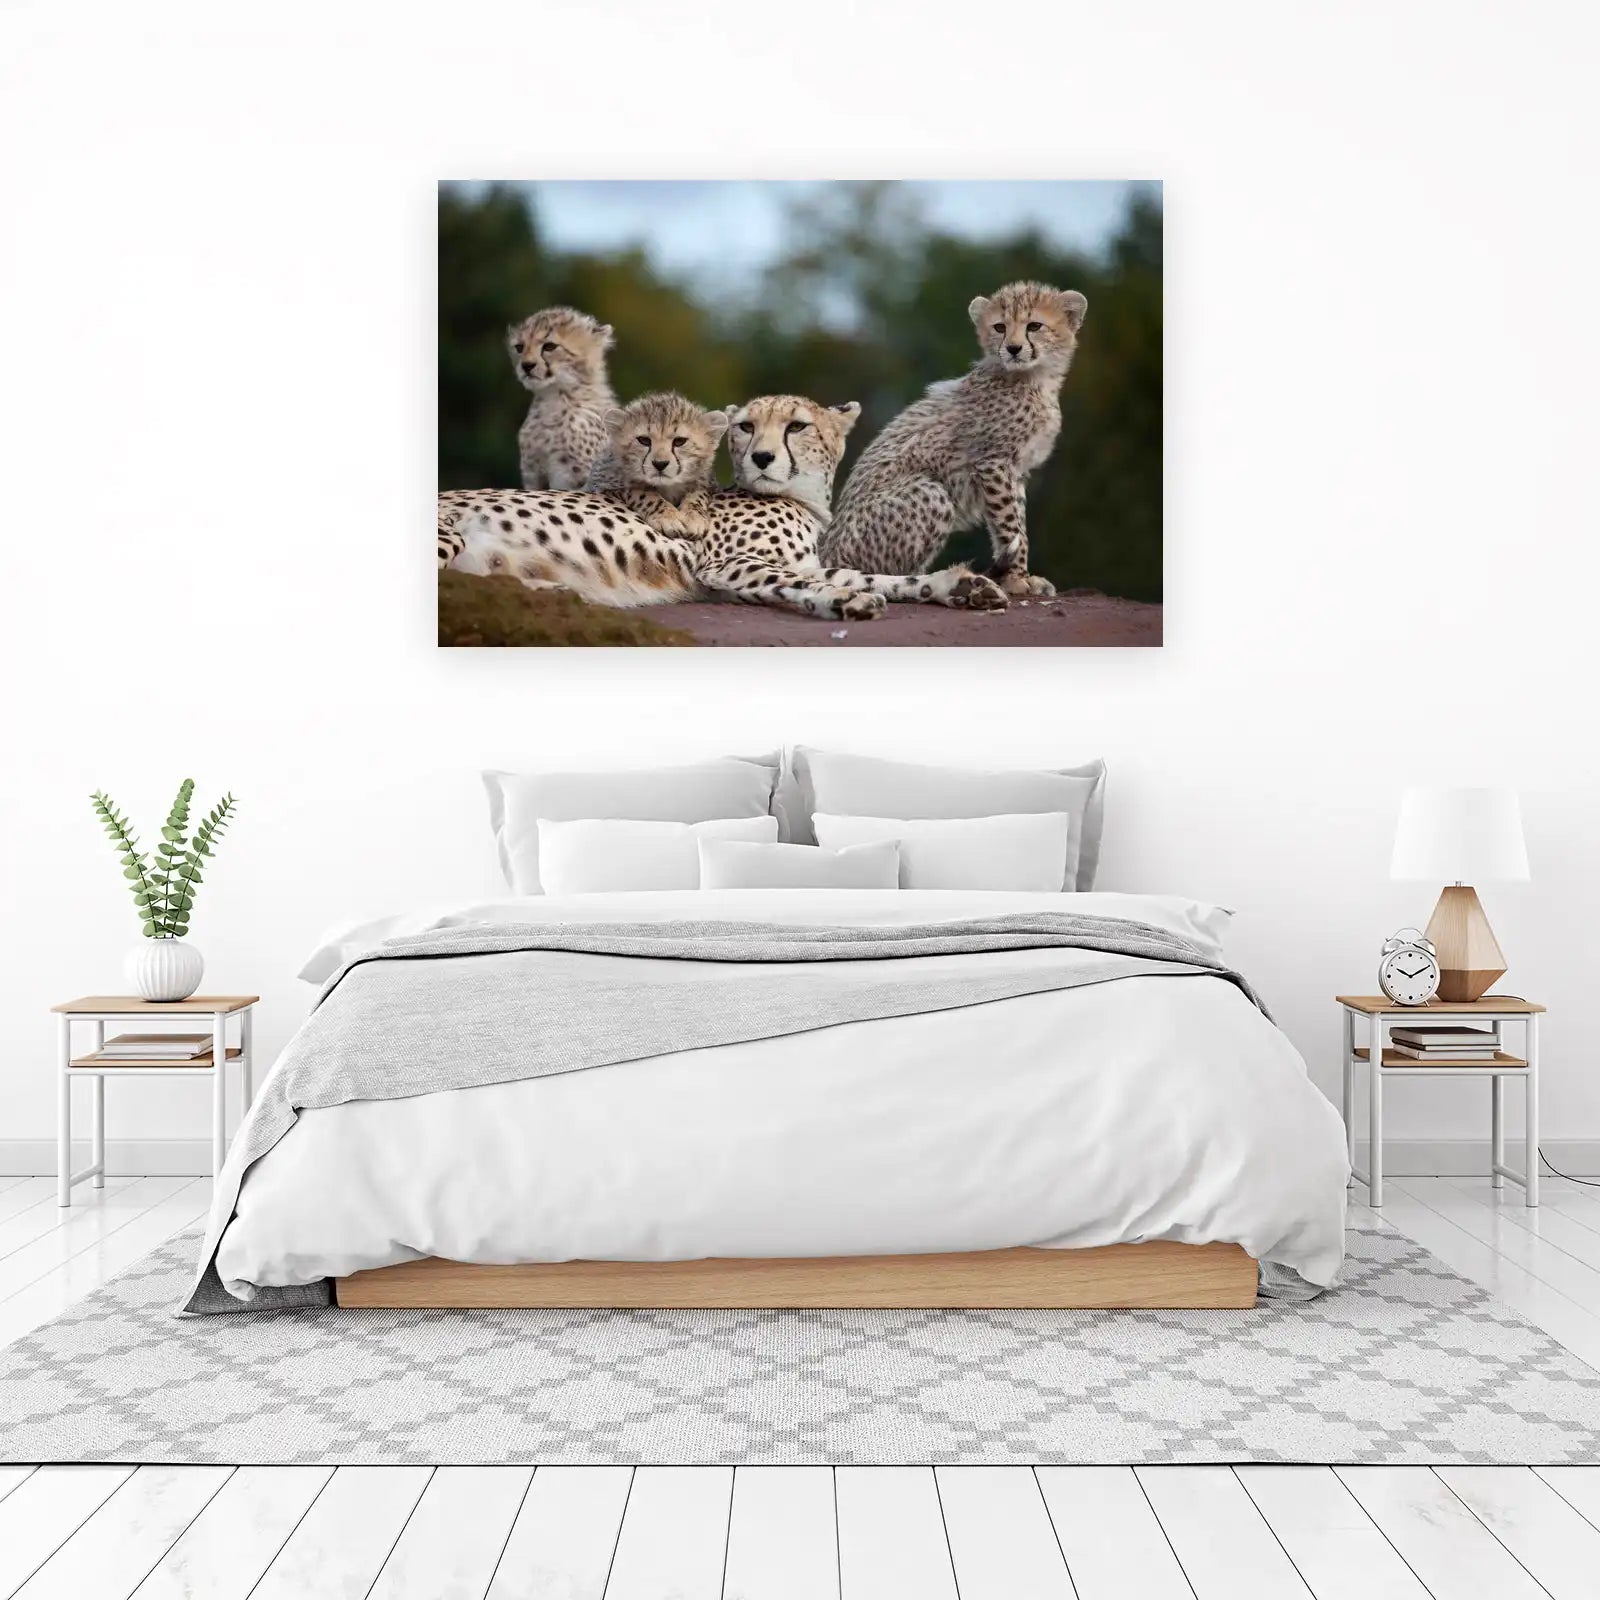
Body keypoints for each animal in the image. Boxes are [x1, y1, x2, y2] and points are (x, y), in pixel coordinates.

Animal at [584, 391, 728, 542]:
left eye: (680, 441)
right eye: (643, 440)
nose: (660, 464)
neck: (667, 487)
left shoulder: (707, 483)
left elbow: (698, 494)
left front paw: (694, 517)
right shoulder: (604, 485)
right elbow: (644, 494)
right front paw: (669, 517)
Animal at [822, 280, 1089, 598]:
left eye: (1034, 325)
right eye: (1000, 327)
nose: (1013, 348)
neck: (1033, 379)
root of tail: (825, 551)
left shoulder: (1016, 470)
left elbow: (1016, 526)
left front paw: (1018, 576)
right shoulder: (992, 463)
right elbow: (1010, 524)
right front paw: (1017, 579)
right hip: (930, 492)